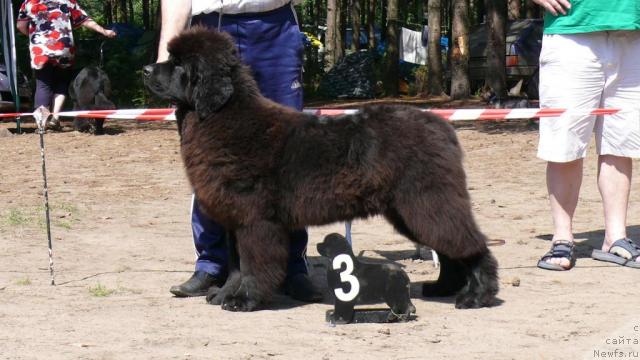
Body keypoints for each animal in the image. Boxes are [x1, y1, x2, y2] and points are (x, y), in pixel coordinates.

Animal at [145, 26, 500, 310]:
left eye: (179, 64)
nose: (147, 69)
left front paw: (244, 300)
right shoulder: (234, 217)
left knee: (469, 245)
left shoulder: (255, 219)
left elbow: (253, 263)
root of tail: (441, 126)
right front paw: (224, 295)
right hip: (410, 210)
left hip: (426, 203)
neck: (220, 116)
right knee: (450, 249)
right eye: (170, 57)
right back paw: (442, 288)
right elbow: (235, 263)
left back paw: (476, 296)